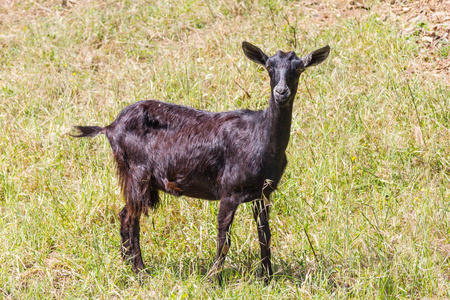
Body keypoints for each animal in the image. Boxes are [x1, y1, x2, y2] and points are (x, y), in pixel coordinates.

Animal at [72, 41, 328, 282]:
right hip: (137, 173)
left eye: (299, 68)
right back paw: (140, 271)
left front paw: (267, 278)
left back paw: (128, 265)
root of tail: (110, 127)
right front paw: (214, 279)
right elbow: (224, 237)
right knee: (130, 218)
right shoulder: (229, 191)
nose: (281, 92)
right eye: (269, 67)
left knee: (124, 213)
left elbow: (264, 234)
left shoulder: (263, 193)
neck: (261, 137)